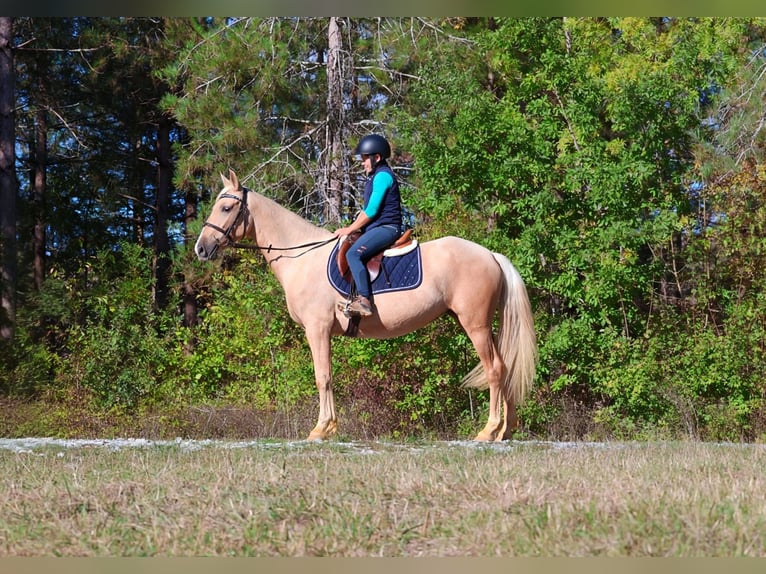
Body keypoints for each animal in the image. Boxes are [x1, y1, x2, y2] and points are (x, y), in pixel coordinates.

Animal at [195, 170, 537, 441]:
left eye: (226, 207)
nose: (201, 248)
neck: (302, 256)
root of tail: (490, 254)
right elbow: (328, 376)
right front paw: (330, 427)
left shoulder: (317, 329)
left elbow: (322, 376)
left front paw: (321, 429)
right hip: (481, 325)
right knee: (505, 367)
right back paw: (505, 431)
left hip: (475, 325)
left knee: (494, 369)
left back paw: (488, 431)